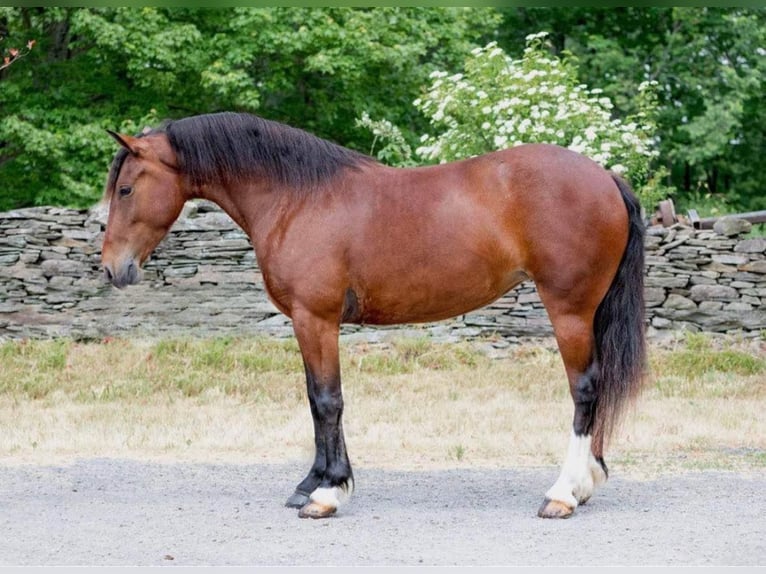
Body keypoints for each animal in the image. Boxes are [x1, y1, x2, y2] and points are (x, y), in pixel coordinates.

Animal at [99, 111, 644, 520]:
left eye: (126, 189)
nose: (112, 268)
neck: (298, 198)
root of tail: (605, 177)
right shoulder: (308, 323)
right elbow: (315, 399)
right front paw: (311, 482)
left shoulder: (314, 318)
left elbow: (327, 401)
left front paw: (327, 494)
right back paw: (588, 482)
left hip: (568, 310)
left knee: (585, 389)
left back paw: (563, 493)